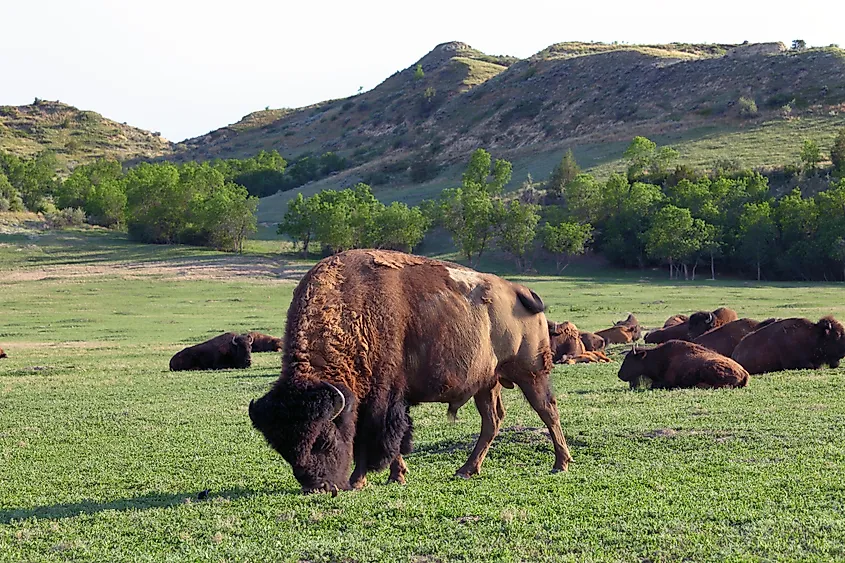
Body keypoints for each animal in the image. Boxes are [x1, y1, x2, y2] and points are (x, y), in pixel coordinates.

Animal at [249, 249, 572, 493]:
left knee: (547, 410)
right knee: (492, 421)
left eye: (323, 439)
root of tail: (519, 290)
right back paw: (466, 470)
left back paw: (560, 463)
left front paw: (360, 481)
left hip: (530, 373)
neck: (351, 312)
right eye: (283, 448)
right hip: (486, 383)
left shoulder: (381, 400)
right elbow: (391, 442)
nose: (316, 487)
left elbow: (377, 439)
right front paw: (396, 476)